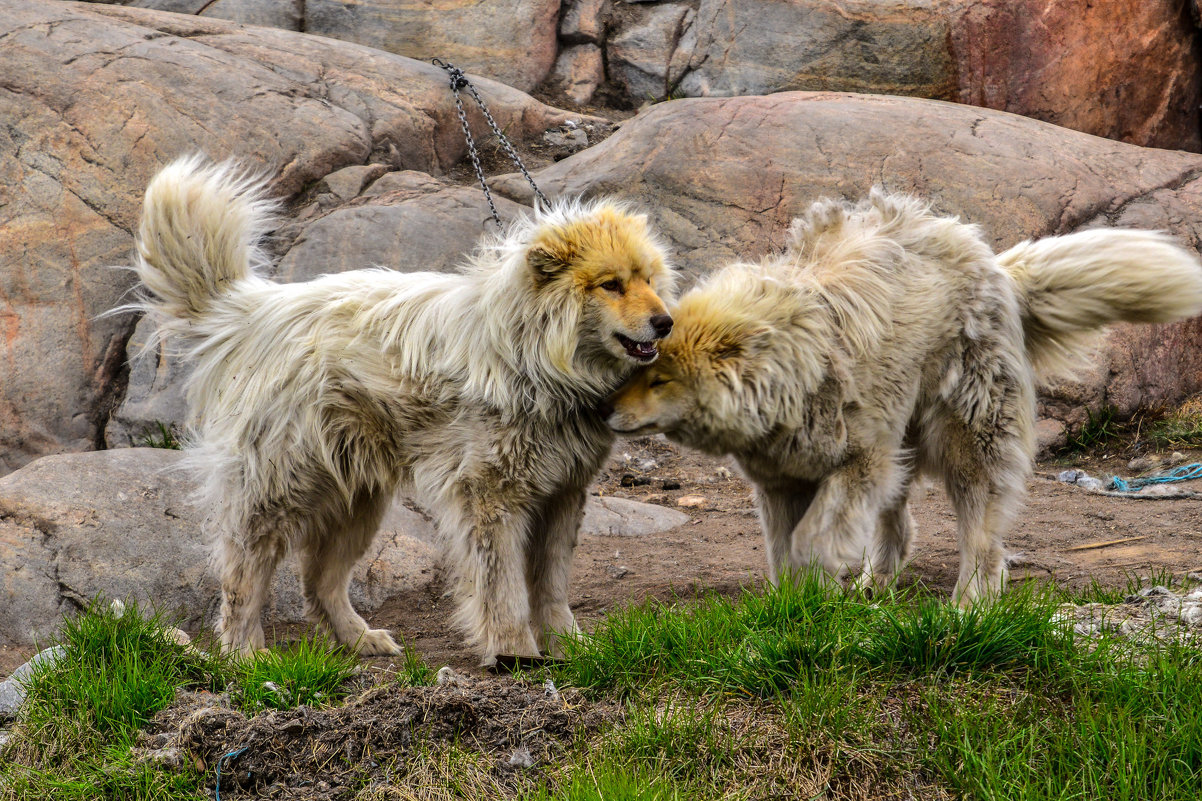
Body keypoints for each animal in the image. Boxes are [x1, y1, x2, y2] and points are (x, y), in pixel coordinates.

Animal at [134, 157, 677, 659]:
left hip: (357, 502)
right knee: (244, 574)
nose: (666, 322)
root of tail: (251, 311)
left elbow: (552, 585)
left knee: (320, 581)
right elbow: (503, 588)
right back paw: (245, 652)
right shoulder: (492, 497)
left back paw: (360, 639)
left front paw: (569, 646)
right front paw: (513, 652)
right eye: (611, 284)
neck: (536, 357)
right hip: (279, 489)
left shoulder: (562, 494)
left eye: (650, 280)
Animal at [605, 190, 1202, 601]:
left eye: (660, 379)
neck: (788, 376)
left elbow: (820, 527)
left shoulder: (853, 448)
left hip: (963, 403)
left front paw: (819, 573)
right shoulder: (780, 468)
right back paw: (878, 579)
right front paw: (792, 602)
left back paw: (970, 600)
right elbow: (781, 538)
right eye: (633, 369)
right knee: (901, 507)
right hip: (906, 418)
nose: (608, 413)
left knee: (979, 506)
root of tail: (991, 261)